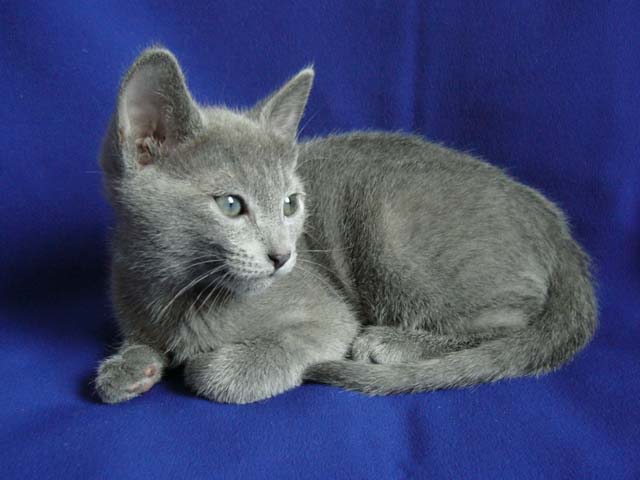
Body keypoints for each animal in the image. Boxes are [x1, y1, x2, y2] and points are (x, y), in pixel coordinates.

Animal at [94, 47, 596, 404]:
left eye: (290, 204)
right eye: (232, 205)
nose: (283, 256)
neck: (177, 294)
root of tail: (555, 225)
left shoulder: (327, 319)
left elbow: (225, 370)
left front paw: (203, 364)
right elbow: (140, 342)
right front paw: (128, 368)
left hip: (391, 234)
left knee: (515, 320)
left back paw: (391, 343)